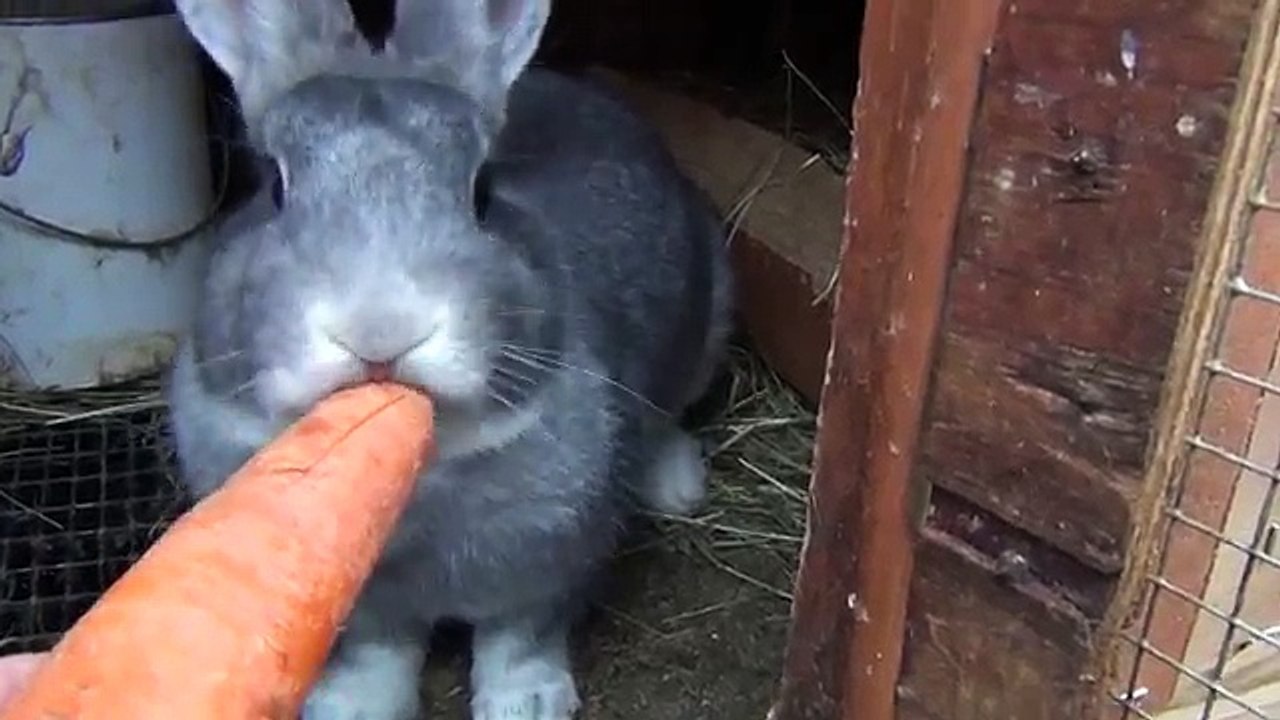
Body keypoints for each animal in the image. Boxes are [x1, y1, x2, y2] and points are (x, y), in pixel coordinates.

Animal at [164, 0, 734, 718]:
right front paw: (354, 708)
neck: (423, 475)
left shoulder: (550, 564)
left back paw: (675, 482)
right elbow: (375, 656)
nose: (381, 327)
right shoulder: (364, 610)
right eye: (272, 187)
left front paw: (529, 705)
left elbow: (520, 638)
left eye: (482, 191)